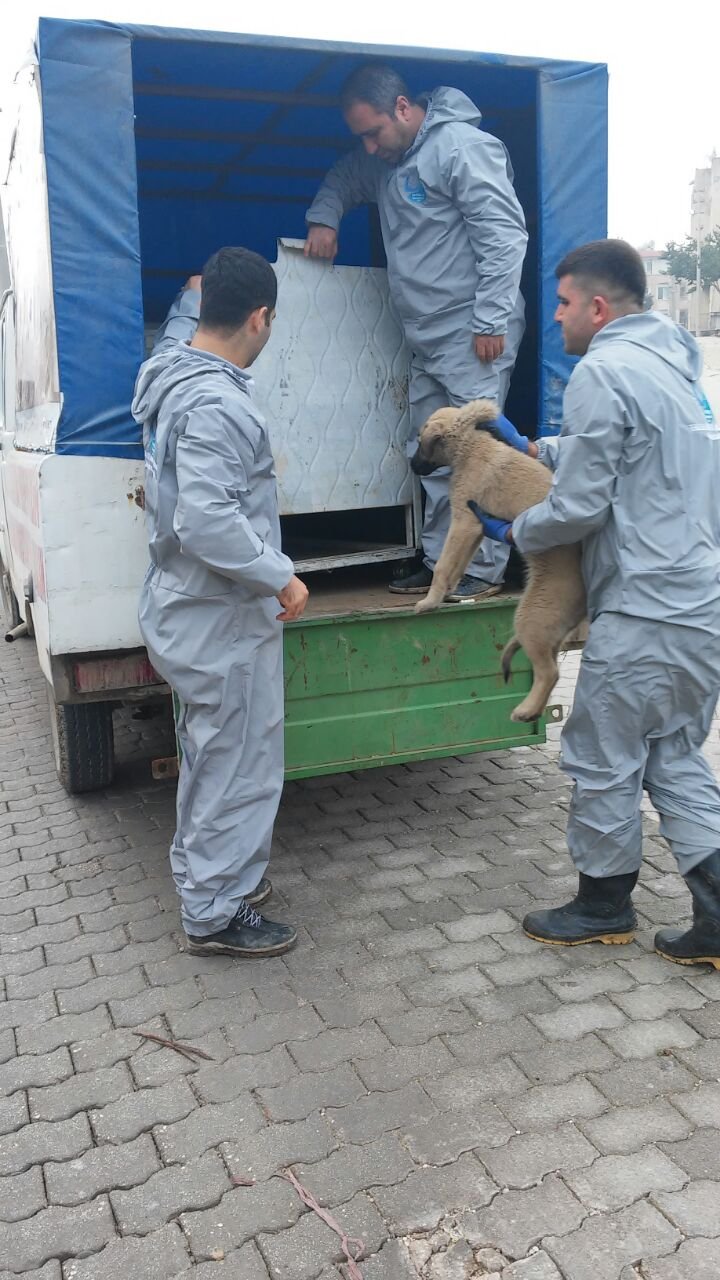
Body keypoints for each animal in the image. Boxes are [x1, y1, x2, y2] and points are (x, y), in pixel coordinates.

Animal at [409, 394, 584, 727]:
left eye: (421, 441)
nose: (411, 466)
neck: (470, 446)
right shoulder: (476, 526)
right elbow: (457, 564)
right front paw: (449, 592)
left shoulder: (464, 520)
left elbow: (442, 564)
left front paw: (429, 601)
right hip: (548, 629)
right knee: (550, 666)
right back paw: (532, 710)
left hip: (532, 618)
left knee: (549, 672)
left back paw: (525, 711)